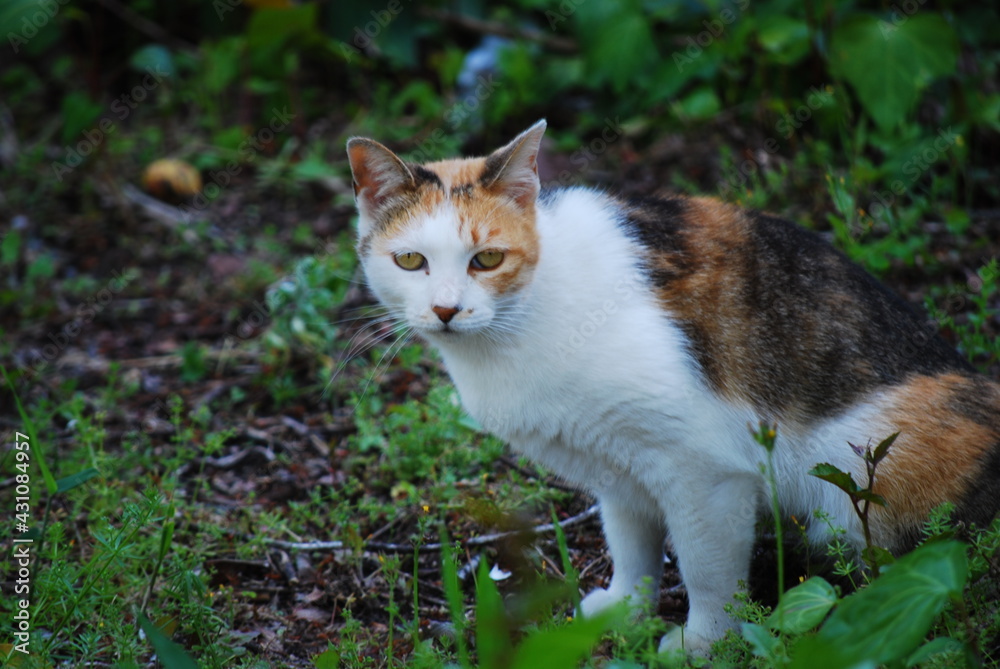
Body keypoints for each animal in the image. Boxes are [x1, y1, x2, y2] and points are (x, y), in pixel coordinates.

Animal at [346, 120, 1000, 652]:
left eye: (486, 260)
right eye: (410, 261)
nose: (446, 310)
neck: (520, 323)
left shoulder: (706, 471)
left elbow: (707, 571)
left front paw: (704, 643)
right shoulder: (617, 465)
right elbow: (631, 544)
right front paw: (625, 610)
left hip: (865, 483)